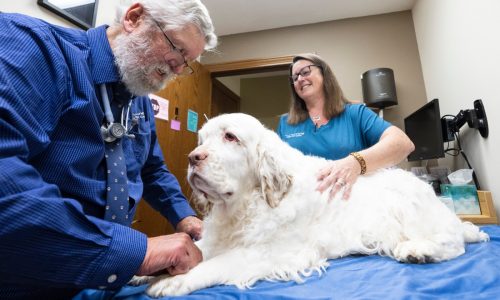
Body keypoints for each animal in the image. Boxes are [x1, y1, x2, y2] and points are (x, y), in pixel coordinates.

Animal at [140, 113, 488, 298]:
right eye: (202, 140)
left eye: (230, 137)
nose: (193, 158)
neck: (248, 203)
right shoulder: (218, 238)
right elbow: (196, 247)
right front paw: (152, 265)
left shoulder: (269, 253)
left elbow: (215, 264)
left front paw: (173, 280)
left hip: (406, 200)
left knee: (454, 243)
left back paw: (419, 250)